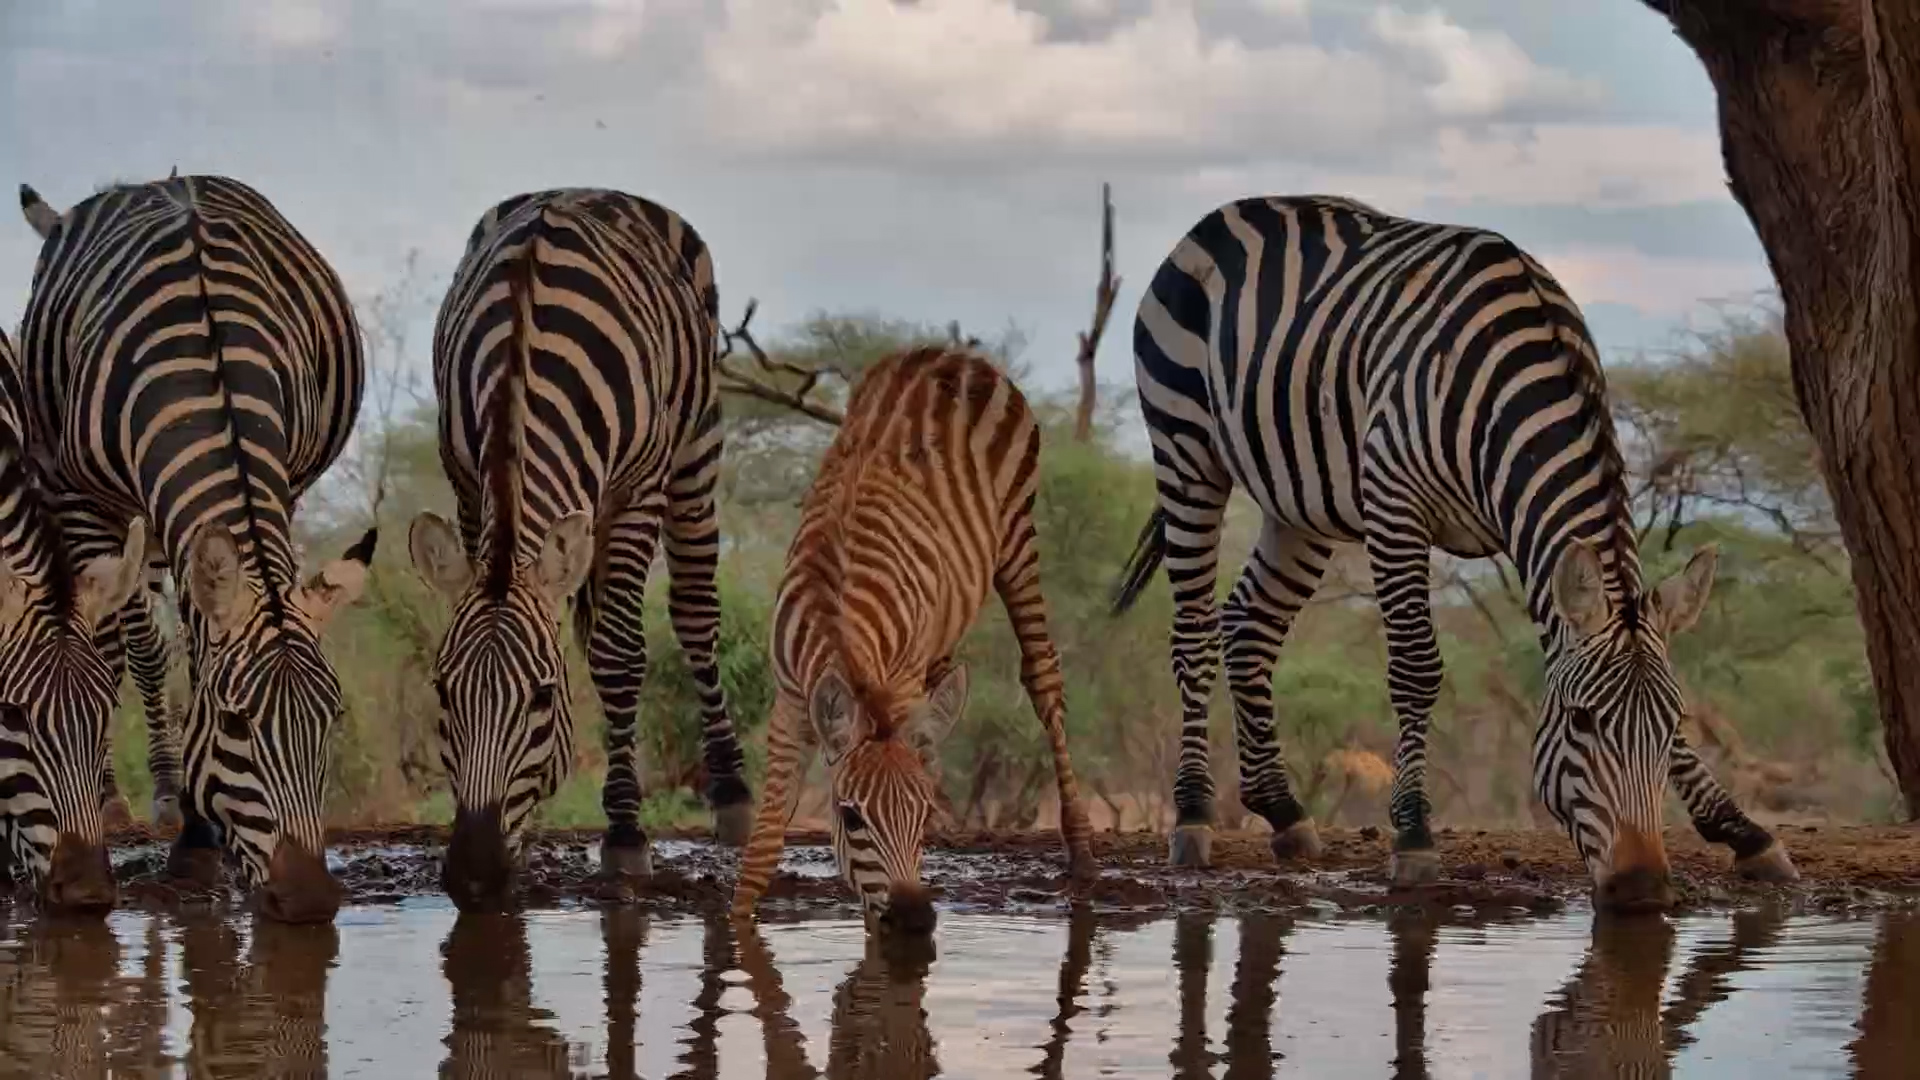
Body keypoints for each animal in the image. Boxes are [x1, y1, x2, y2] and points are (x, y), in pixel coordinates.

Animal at [17, 173, 376, 923]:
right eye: (235, 724)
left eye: (331, 718)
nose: (308, 901)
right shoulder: (82, 498)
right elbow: (105, 654)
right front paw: (166, 830)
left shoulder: (283, 483)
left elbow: (198, 633)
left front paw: (201, 835)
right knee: (129, 644)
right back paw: (122, 798)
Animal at [407, 187, 754, 911]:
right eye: (443, 693)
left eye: (542, 698)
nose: (474, 877)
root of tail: (584, 189)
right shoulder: (467, 483)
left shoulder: (638, 490)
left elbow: (620, 657)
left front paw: (625, 835)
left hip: (696, 451)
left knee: (695, 615)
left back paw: (733, 796)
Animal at [728, 346, 1097, 931]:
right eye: (849, 817)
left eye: (920, 815)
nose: (914, 919)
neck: (836, 616)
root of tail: (946, 353)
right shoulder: (789, 700)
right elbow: (763, 846)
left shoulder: (898, 683)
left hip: (1018, 531)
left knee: (1042, 673)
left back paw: (1081, 852)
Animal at [1111, 195, 1797, 911]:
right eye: (1581, 722)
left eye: (1671, 724)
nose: (1642, 891)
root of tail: (1227, 212)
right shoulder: (1396, 506)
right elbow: (1417, 667)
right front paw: (1413, 837)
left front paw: (1744, 831)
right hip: (1188, 450)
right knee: (1193, 630)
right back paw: (1193, 817)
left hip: (1298, 503)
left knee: (1249, 624)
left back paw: (1282, 810)